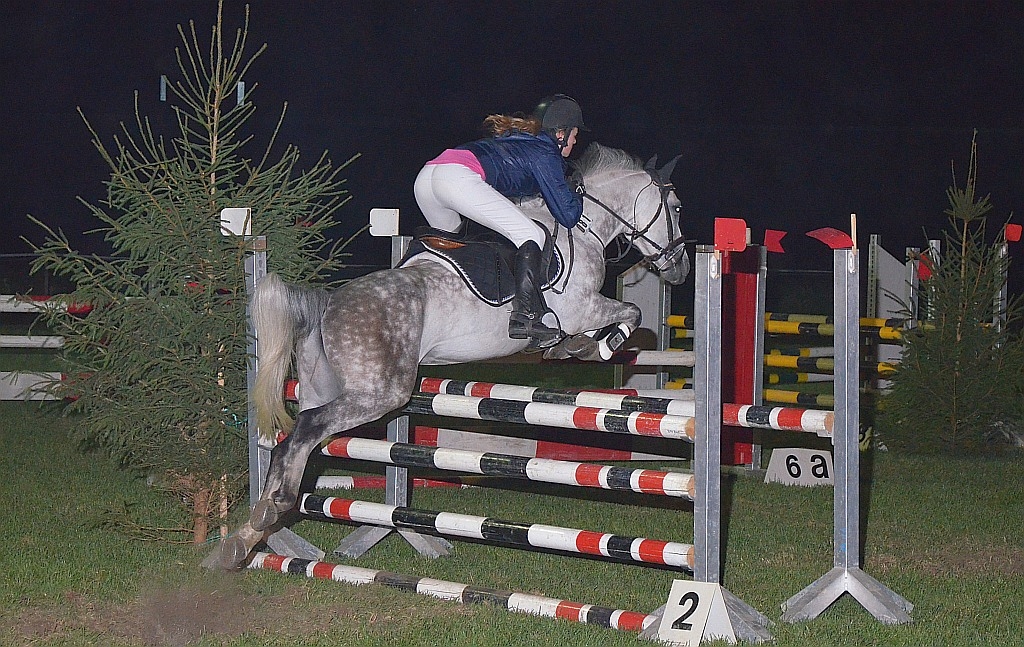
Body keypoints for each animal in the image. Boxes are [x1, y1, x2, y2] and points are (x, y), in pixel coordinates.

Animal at [208, 142, 690, 569]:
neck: (583, 228)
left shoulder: (583, 312)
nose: (681, 268)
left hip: (321, 386)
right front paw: (597, 346)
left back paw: (247, 534)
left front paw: (578, 346)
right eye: (677, 207)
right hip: (380, 394)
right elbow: (630, 312)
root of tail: (328, 303)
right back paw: (273, 511)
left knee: (289, 443)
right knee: (305, 431)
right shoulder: (583, 307)